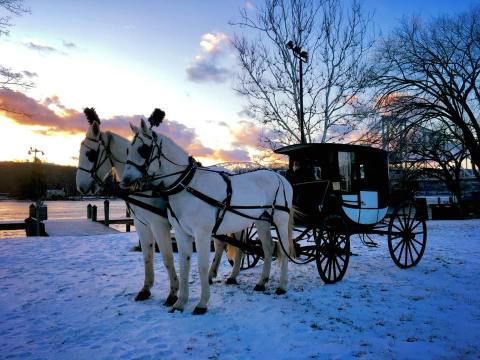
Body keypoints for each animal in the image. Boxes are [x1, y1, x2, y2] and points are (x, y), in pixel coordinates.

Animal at [121, 119, 292, 314]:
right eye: (128, 149)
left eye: (144, 149)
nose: (124, 181)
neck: (188, 186)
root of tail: (280, 177)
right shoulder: (181, 233)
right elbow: (184, 265)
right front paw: (180, 302)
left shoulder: (201, 234)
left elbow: (201, 266)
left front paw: (202, 303)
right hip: (261, 221)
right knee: (268, 248)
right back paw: (261, 282)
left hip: (280, 221)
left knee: (283, 249)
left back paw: (282, 286)